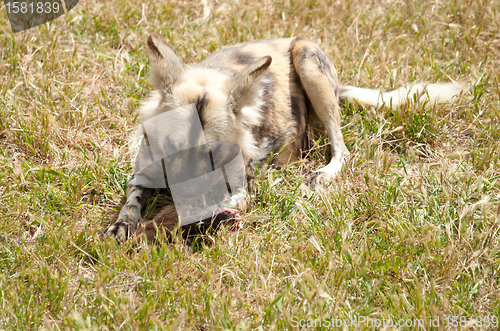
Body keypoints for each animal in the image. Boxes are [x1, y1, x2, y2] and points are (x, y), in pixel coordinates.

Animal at [102, 36, 464, 243]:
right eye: (172, 148)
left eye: (212, 155)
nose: (182, 197)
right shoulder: (143, 173)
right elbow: (132, 202)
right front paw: (123, 225)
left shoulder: (240, 188)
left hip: (308, 61)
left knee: (340, 149)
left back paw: (317, 174)